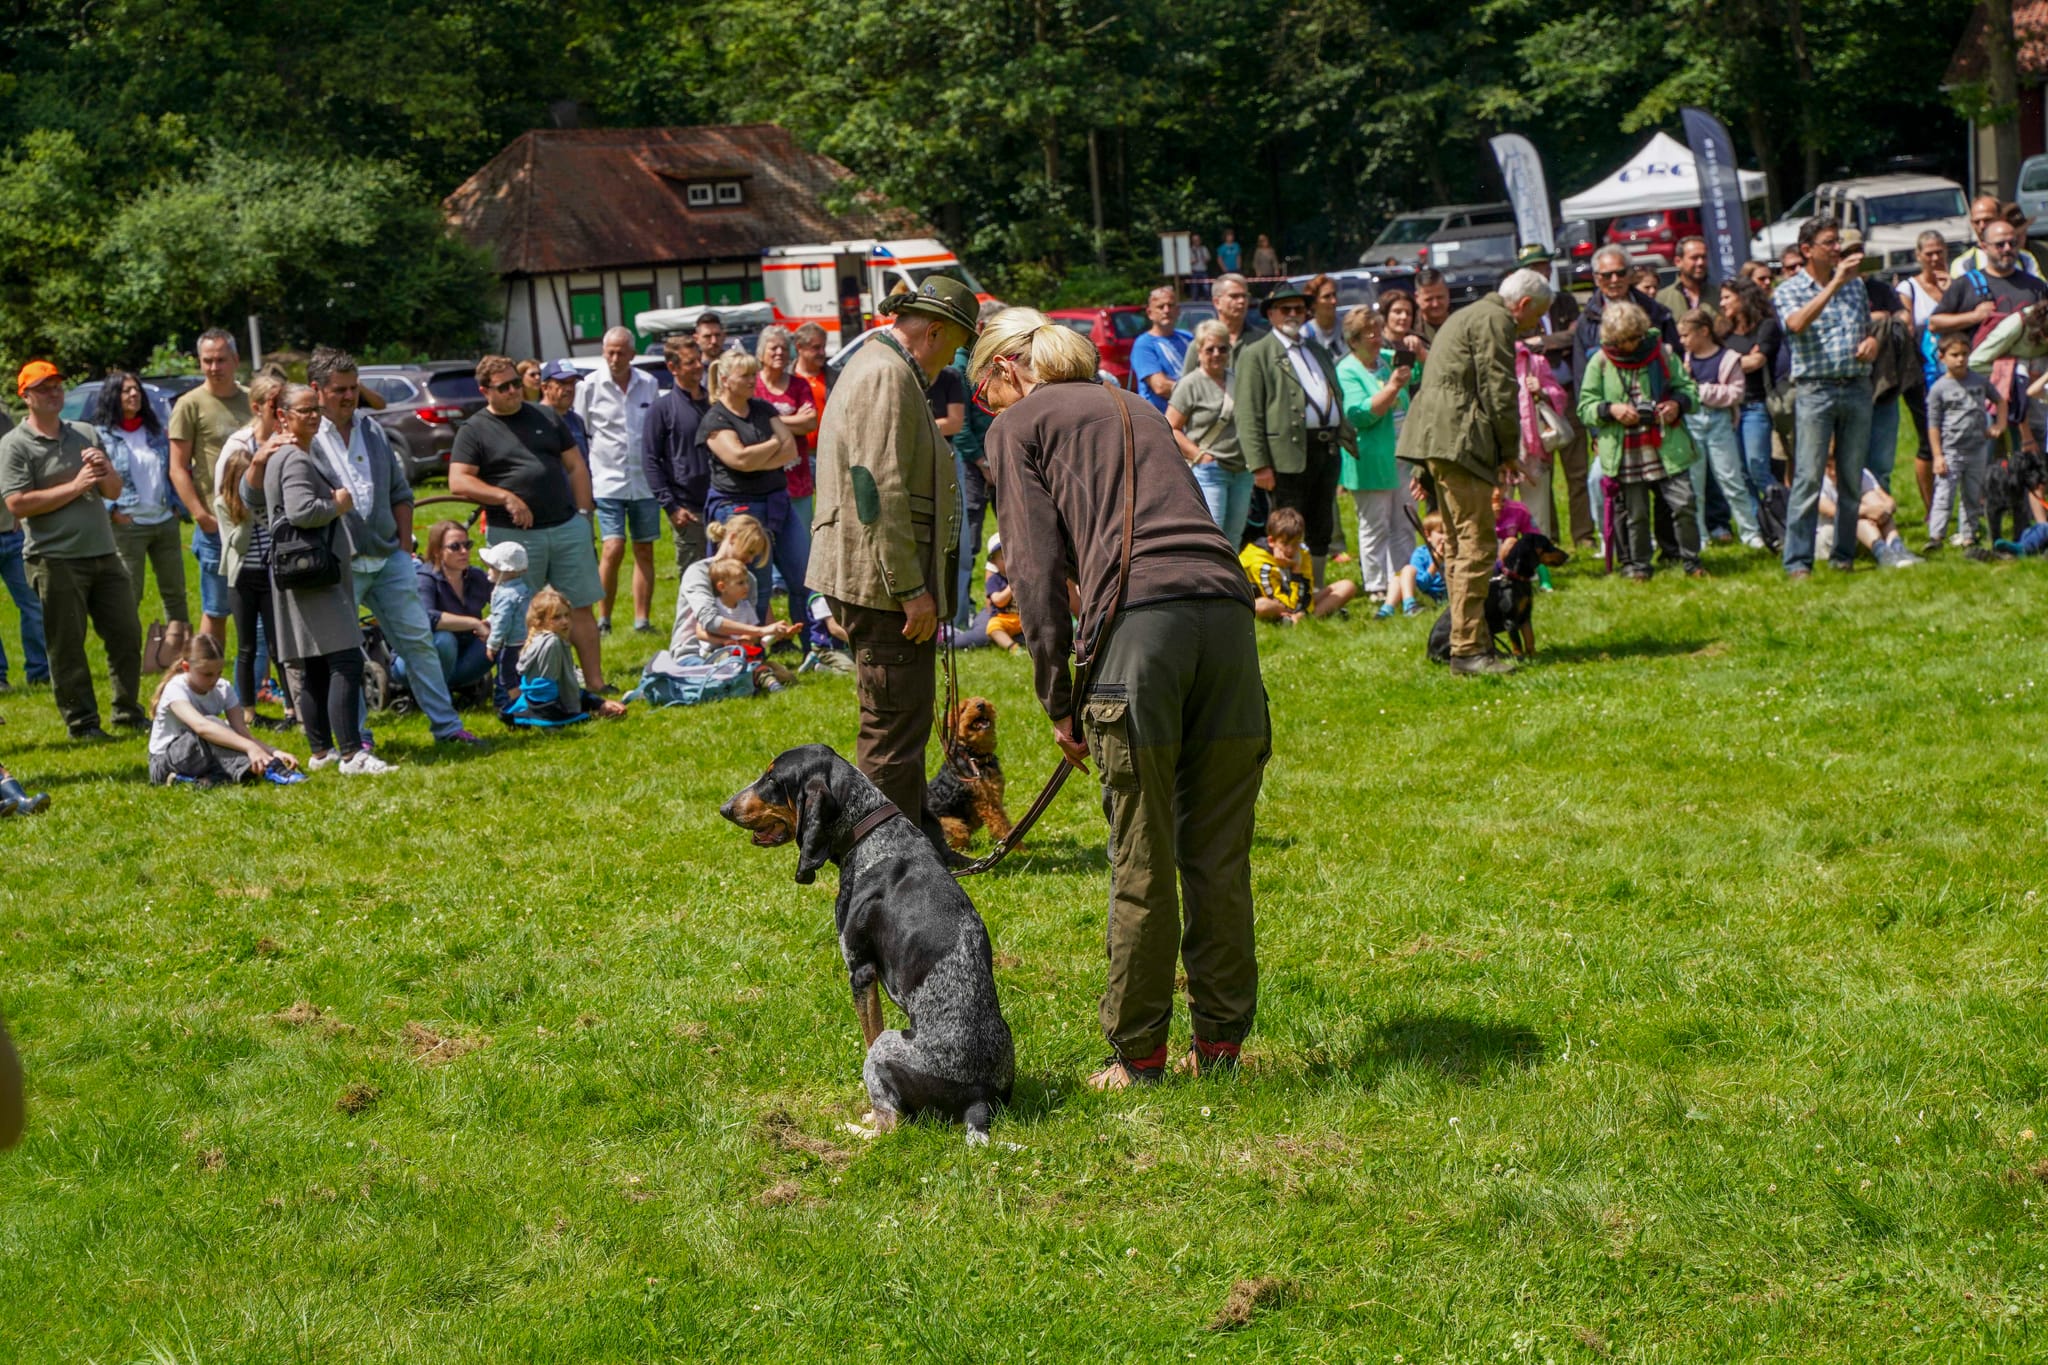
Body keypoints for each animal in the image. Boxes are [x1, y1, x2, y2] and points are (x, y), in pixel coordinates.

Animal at [721, 744, 1015, 1144]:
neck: (871, 832)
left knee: (890, 1126)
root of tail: (978, 1103)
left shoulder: (860, 972)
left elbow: (867, 1032)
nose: (725, 808)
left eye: (772, 778)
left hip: (884, 1048)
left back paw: (851, 1128)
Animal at [925, 697, 1013, 852]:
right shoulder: (988, 804)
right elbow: (1003, 827)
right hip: (954, 825)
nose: (981, 705)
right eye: (963, 709)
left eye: (983, 700)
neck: (974, 757)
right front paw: (1020, 849)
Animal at [1427, 531, 1571, 664]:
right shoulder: (1510, 621)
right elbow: (1518, 644)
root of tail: (1430, 654)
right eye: (1546, 544)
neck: (1514, 578)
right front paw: (1521, 659)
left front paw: (1535, 657)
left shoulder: (1525, 616)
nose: (1567, 556)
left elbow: (1530, 639)